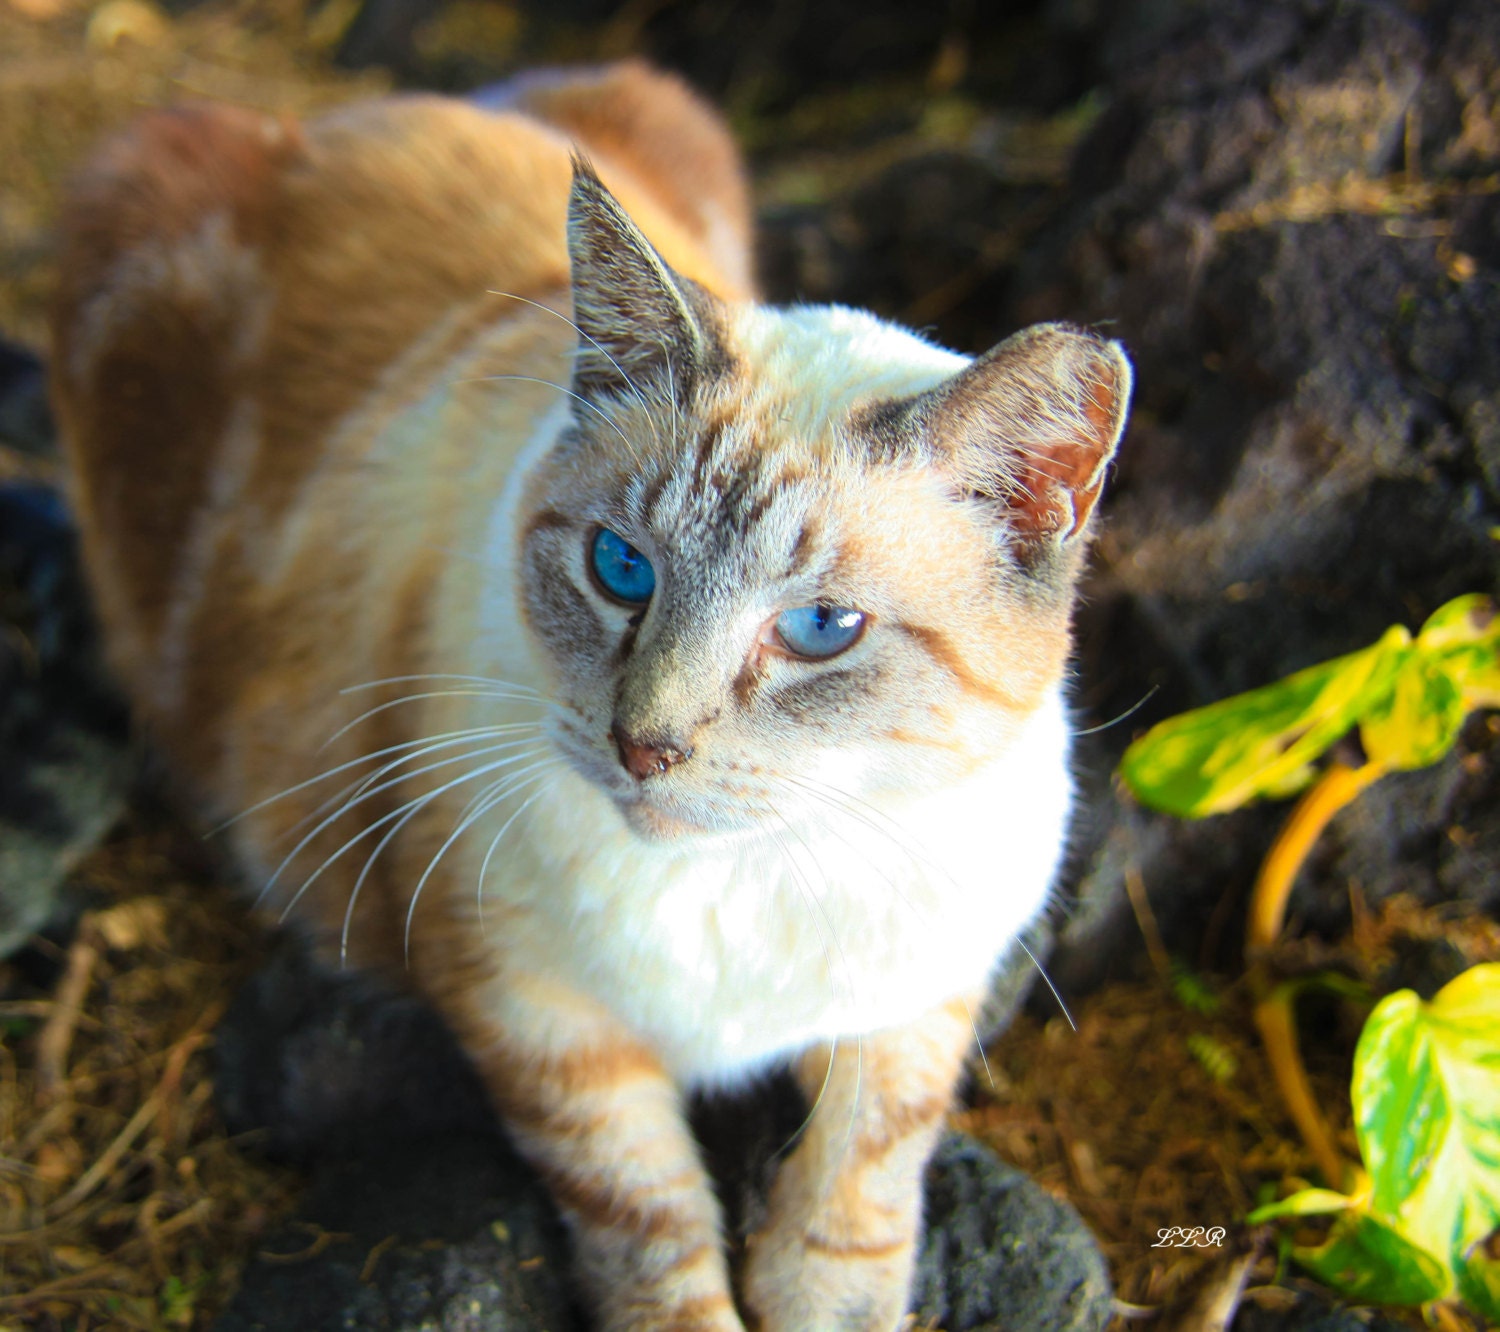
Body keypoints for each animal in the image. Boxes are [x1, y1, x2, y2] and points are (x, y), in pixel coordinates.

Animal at [49, 57, 1128, 1326]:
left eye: (822, 631)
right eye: (622, 569)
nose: (644, 747)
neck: (742, 879)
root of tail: (349, 113)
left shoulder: (921, 999)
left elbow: (856, 1194)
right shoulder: (537, 1016)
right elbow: (652, 1231)